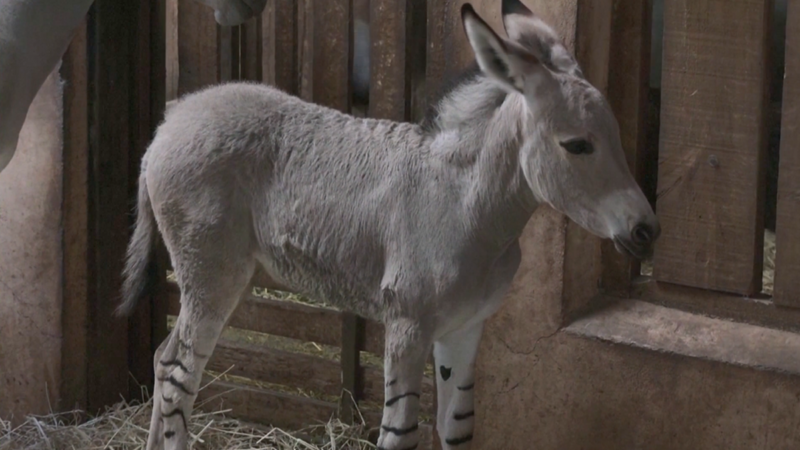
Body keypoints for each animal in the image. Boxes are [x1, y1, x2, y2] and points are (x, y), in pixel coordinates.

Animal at [119, 1, 656, 448]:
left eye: (616, 135)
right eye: (577, 146)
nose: (647, 231)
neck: (470, 205)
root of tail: (169, 125)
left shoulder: (466, 327)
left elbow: (457, 430)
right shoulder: (406, 328)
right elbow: (400, 435)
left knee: (164, 360)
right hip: (211, 274)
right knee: (178, 375)